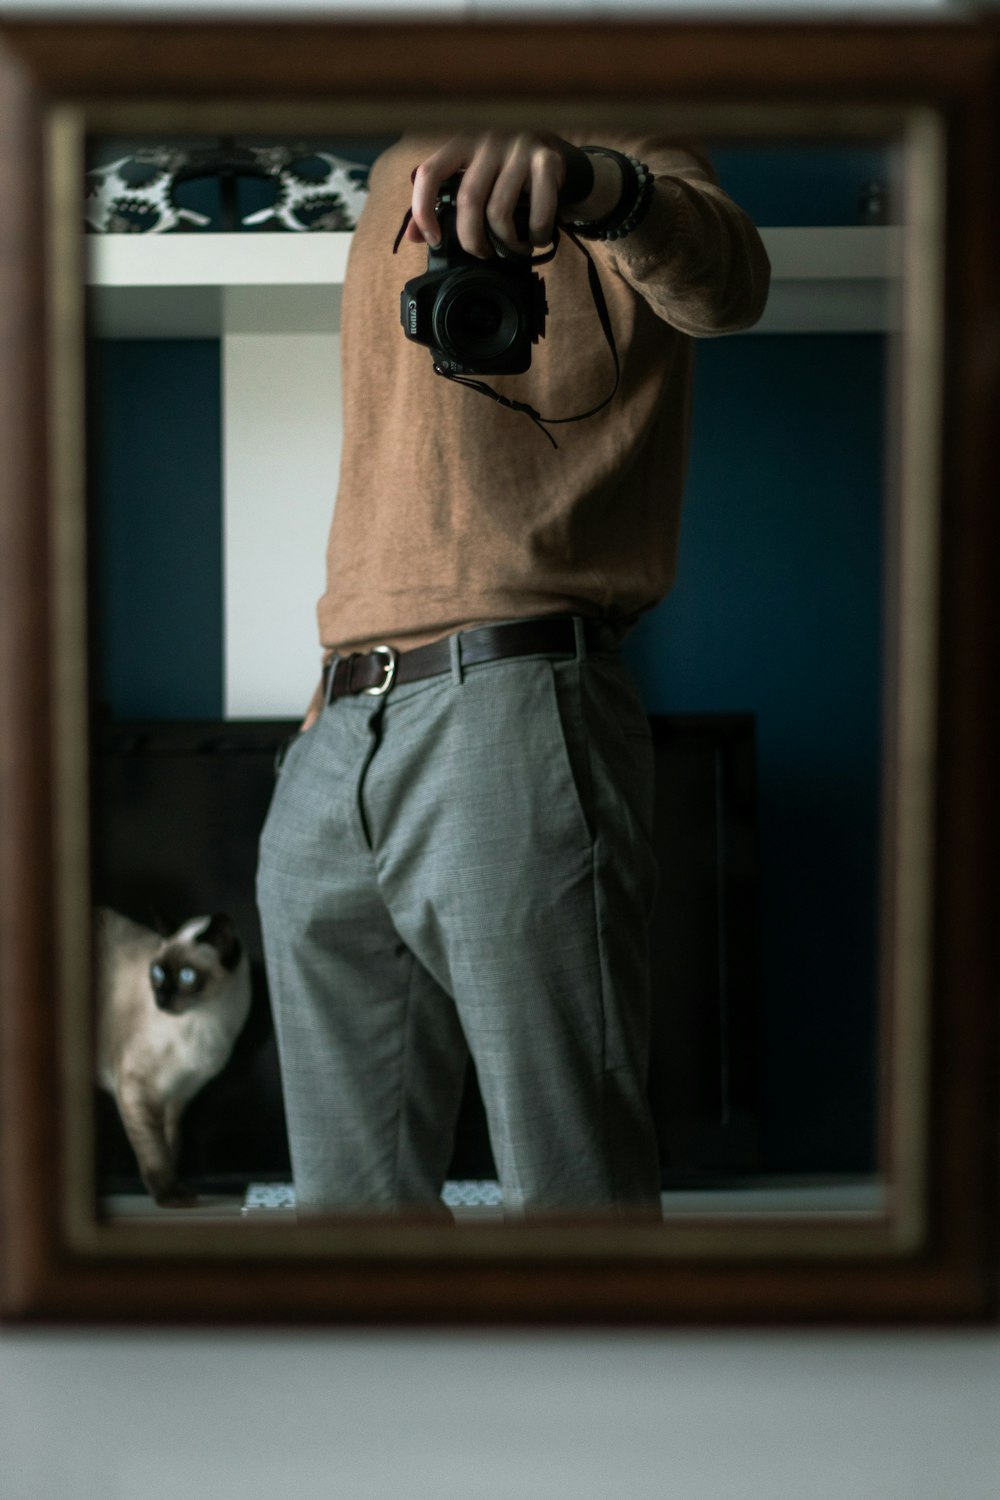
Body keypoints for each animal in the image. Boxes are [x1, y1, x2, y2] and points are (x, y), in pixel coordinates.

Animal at [94, 900, 250, 1206]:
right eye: (157, 973)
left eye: (186, 976)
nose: (161, 999)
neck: (205, 1023)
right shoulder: (137, 1089)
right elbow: (154, 1152)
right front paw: (169, 1197)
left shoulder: (178, 1096)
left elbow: (171, 1147)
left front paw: (181, 1191)